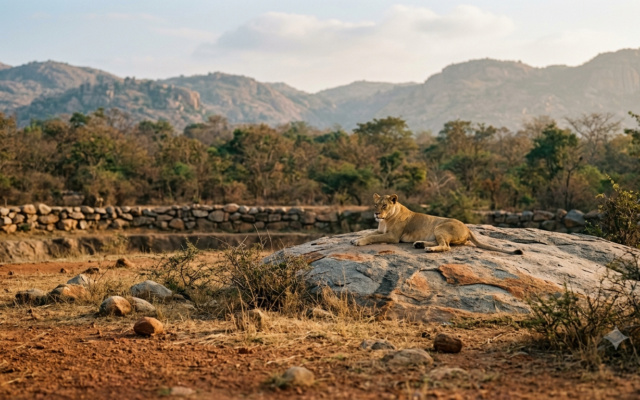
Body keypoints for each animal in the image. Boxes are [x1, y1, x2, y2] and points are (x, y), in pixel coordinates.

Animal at [350, 193, 523, 255]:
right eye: (375, 205)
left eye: (384, 205)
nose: (376, 214)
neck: (385, 220)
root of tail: (468, 228)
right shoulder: (381, 231)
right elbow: (370, 234)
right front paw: (355, 239)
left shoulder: (392, 236)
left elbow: (372, 238)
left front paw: (359, 242)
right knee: (443, 243)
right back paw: (419, 244)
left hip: (440, 227)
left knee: (446, 246)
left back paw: (429, 249)